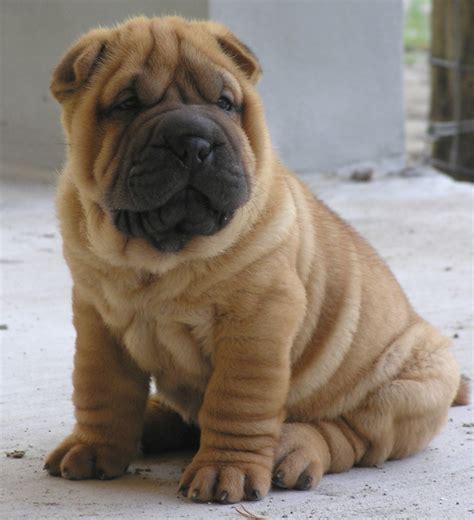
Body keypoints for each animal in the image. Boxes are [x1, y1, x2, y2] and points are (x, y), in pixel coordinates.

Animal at [42, 15, 464, 504]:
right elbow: (101, 388)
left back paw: (292, 450)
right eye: (127, 104)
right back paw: (151, 421)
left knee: (348, 434)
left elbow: (236, 400)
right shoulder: (97, 318)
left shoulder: (256, 321)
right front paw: (92, 449)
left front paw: (227, 471)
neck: (163, 257)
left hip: (407, 390)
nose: (192, 142)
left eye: (225, 103)